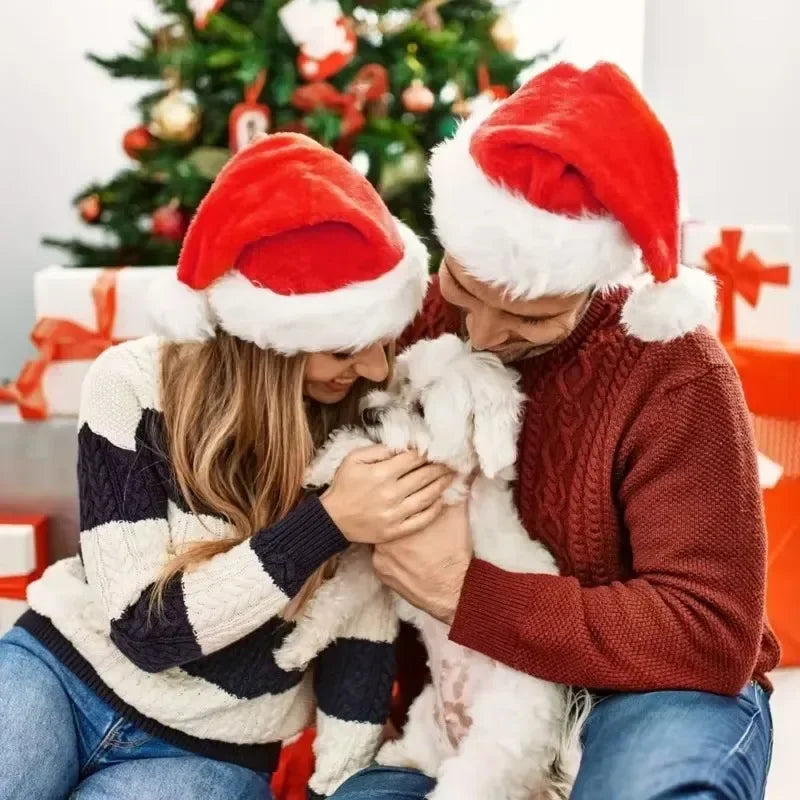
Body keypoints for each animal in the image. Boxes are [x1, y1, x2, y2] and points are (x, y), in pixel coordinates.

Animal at [276, 334, 588, 796]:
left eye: (422, 409)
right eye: (402, 382)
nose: (369, 413)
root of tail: (535, 782)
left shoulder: (433, 497)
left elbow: (368, 449)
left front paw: (329, 462)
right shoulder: (373, 563)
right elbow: (333, 603)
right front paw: (295, 650)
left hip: (485, 759)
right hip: (424, 711)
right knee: (425, 757)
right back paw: (392, 755)